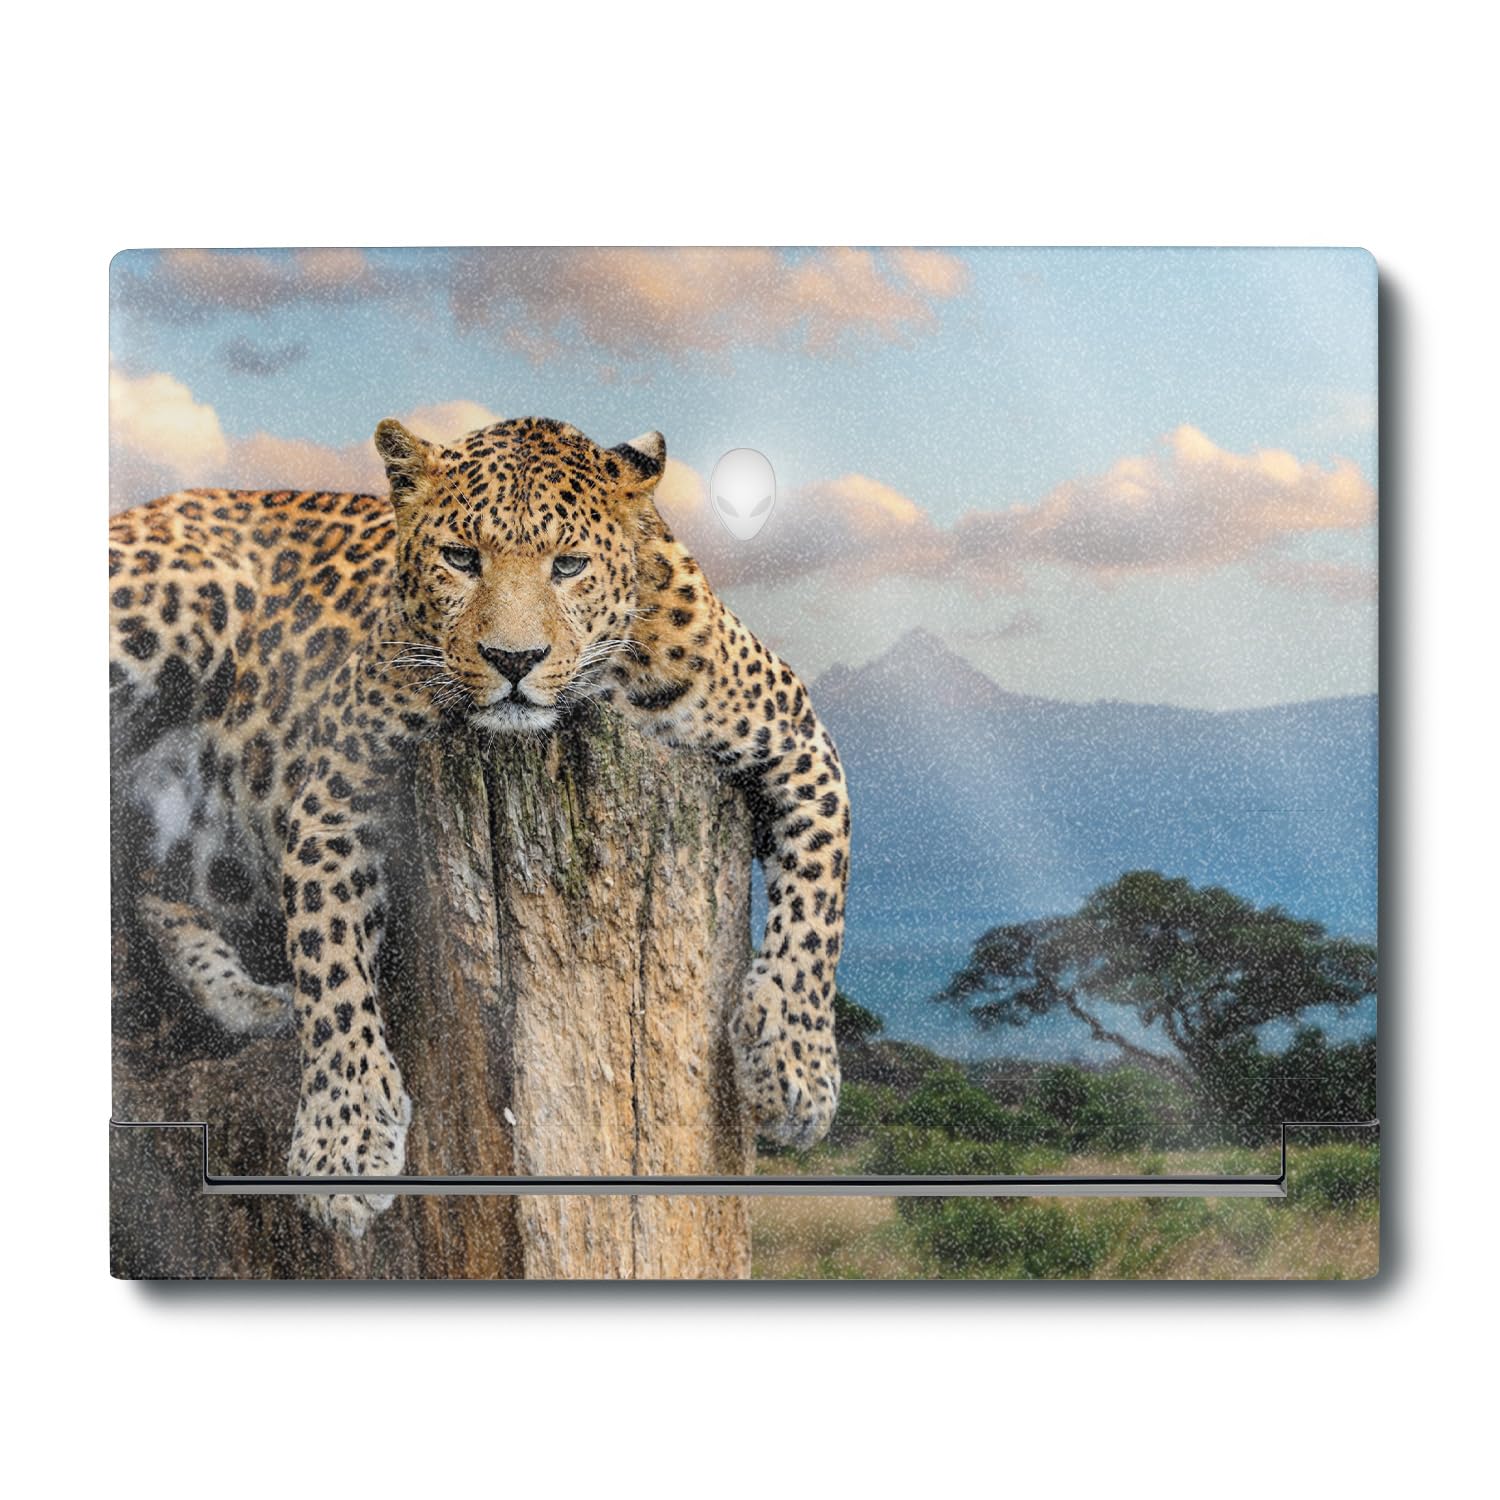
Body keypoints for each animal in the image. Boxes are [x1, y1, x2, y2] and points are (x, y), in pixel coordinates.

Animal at [109, 416, 850, 1234]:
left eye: (569, 565)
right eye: (461, 558)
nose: (513, 659)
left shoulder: (799, 743)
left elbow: (819, 905)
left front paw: (795, 1069)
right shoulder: (337, 794)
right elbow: (330, 967)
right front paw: (342, 1143)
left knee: (146, 873)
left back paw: (243, 999)